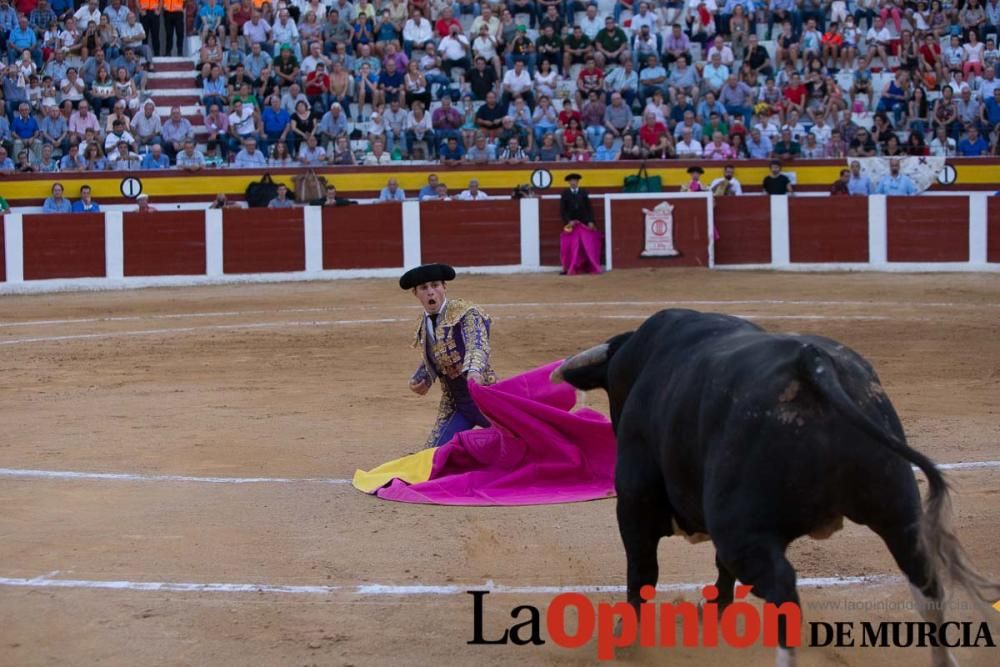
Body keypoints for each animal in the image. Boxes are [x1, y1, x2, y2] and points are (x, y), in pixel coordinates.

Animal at [552, 310, 996, 664]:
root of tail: (814, 364)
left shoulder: (634, 504)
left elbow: (642, 571)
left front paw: (627, 644)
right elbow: (717, 571)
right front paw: (714, 613)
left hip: (742, 530)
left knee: (784, 595)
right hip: (898, 511)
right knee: (927, 586)